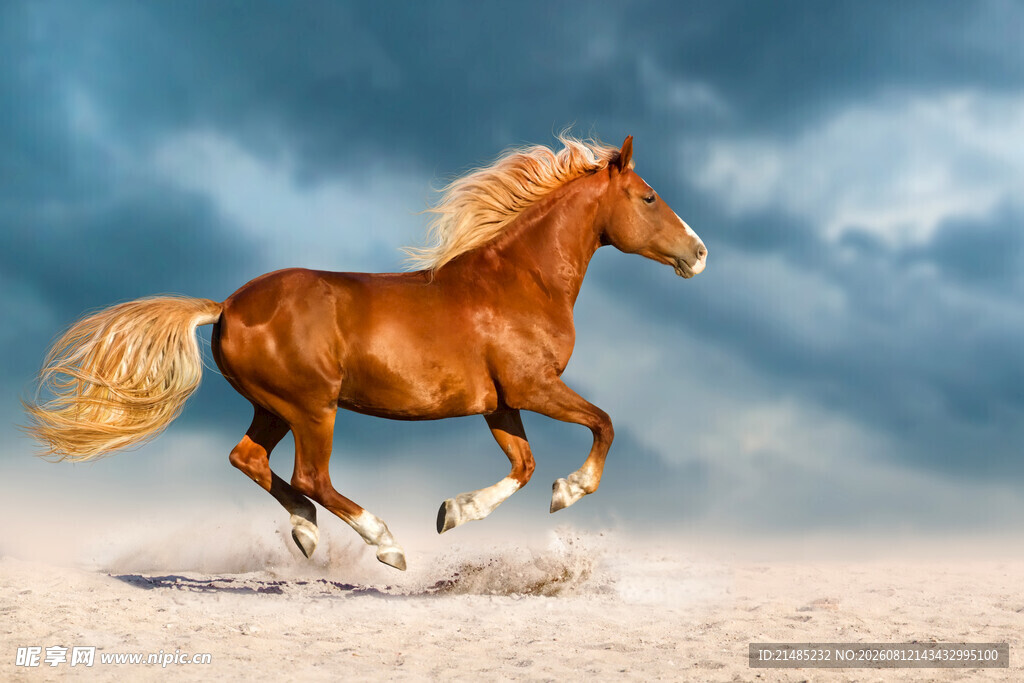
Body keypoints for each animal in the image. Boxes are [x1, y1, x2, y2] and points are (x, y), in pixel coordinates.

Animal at [24, 135, 707, 571]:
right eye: (649, 197)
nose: (698, 254)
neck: (520, 281)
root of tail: (227, 306)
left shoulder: (499, 403)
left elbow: (524, 465)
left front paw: (453, 512)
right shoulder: (533, 387)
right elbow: (603, 425)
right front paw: (570, 491)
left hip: (274, 407)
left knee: (249, 458)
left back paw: (305, 533)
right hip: (313, 407)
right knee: (311, 476)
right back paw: (385, 543)